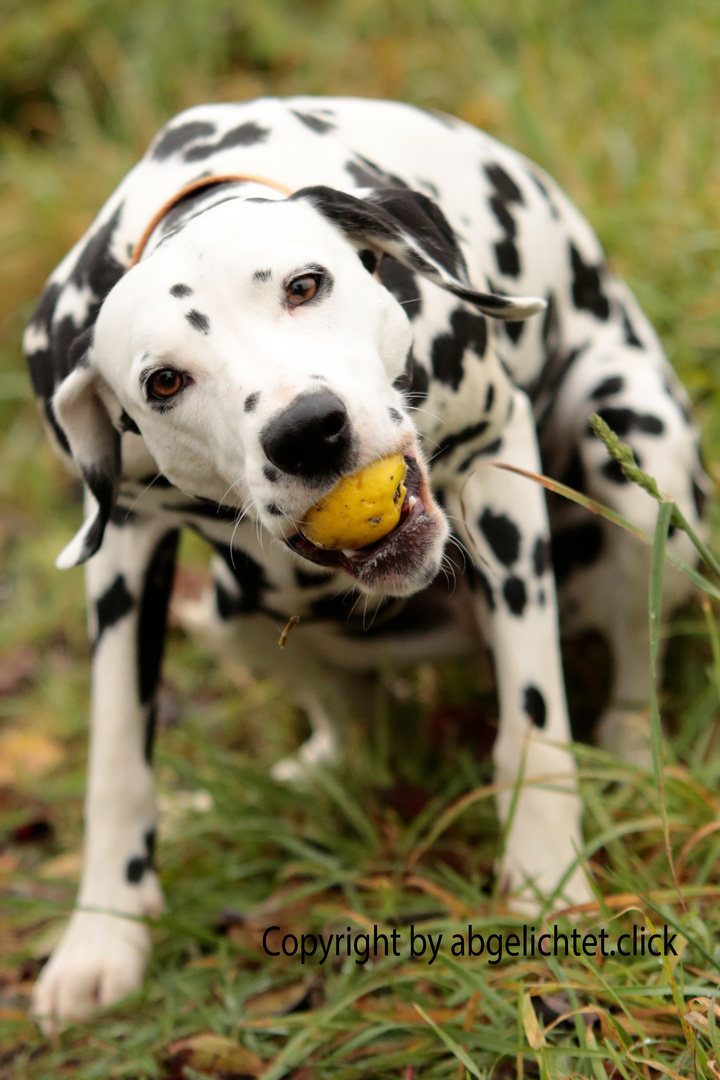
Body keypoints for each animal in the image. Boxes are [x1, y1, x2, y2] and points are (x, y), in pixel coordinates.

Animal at [25, 99, 708, 1028]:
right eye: (163, 381)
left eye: (304, 285)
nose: (308, 430)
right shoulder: (123, 546)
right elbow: (117, 760)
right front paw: (104, 936)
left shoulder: (497, 461)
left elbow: (533, 725)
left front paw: (545, 880)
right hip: (223, 610)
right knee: (349, 712)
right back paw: (329, 764)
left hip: (639, 457)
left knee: (633, 657)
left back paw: (632, 750)